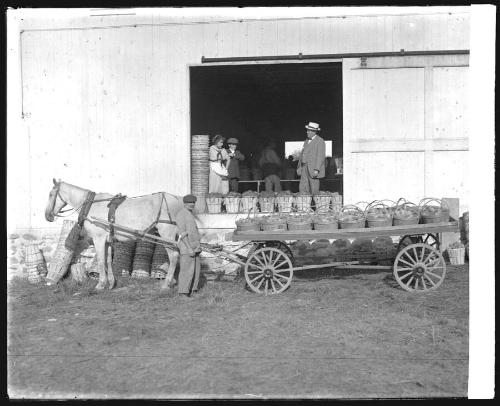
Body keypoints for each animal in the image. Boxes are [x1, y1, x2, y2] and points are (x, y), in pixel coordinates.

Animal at [44, 179, 186, 290]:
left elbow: (101, 260)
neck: (91, 205)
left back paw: (167, 284)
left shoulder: (98, 239)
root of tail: (177, 199)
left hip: (166, 235)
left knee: (174, 256)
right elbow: (107, 261)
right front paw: (111, 283)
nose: (47, 216)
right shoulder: (107, 240)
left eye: (51, 194)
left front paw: (100, 284)